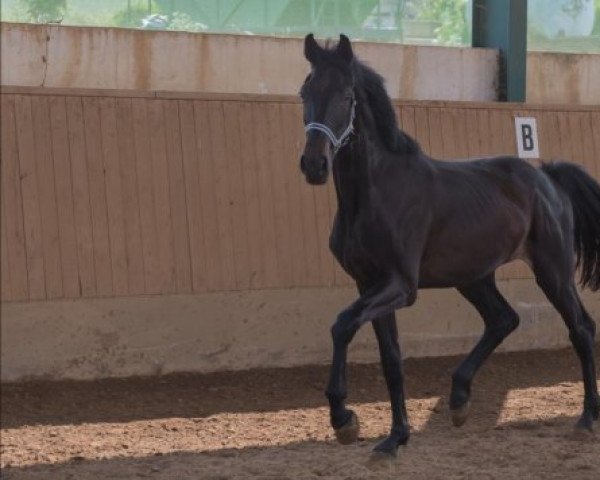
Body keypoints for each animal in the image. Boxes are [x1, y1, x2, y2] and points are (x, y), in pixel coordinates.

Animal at [300, 34, 600, 458]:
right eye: (305, 92)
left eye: (346, 95)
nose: (313, 165)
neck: (376, 194)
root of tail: (547, 178)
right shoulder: (369, 284)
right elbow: (391, 360)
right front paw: (394, 438)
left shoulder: (400, 286)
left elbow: (342, 325)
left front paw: (344, 419)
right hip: (473, 277)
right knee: (503, 319)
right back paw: (458, 400)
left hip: (552, 271)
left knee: (581, 328)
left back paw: (586, 418)